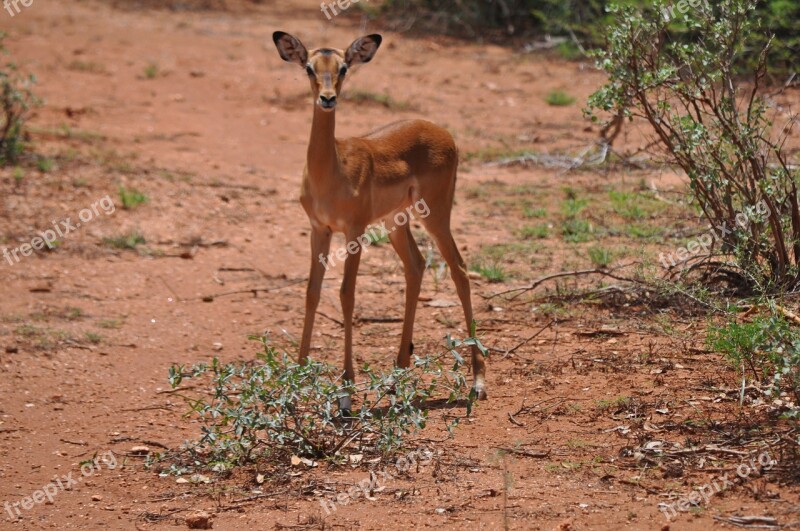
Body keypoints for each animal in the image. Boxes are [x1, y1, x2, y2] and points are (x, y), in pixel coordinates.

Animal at [274, 31, 488, 406]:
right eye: (309, 68)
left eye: (344, 67)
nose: (327, 99)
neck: (333, 170)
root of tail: (444, 133)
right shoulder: (319, 229)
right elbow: (312, 292)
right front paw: (296, 380)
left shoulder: (353, 232)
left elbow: (347, 294)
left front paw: (346, 390)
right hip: (395, 222)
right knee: (416, 266)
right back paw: (396, 375)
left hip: (435, 214)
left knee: (459, 269)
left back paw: (477, 381)